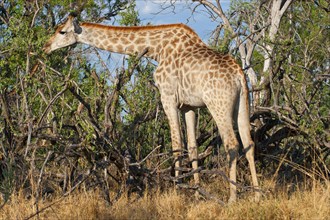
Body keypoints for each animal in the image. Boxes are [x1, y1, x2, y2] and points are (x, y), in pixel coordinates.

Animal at [43, 13, 260, 203]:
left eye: (62, 31)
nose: (45, 47)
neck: (157, 49)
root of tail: (239, 75)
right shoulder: (188, 105)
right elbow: (192, 147)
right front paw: (197, 193)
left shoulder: (168, 97)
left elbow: (176, 144)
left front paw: (177, 190)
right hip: (242, 103)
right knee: (249, 143)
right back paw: (257, 193)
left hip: (218, 104)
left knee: (232, 144)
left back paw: (232, 197)